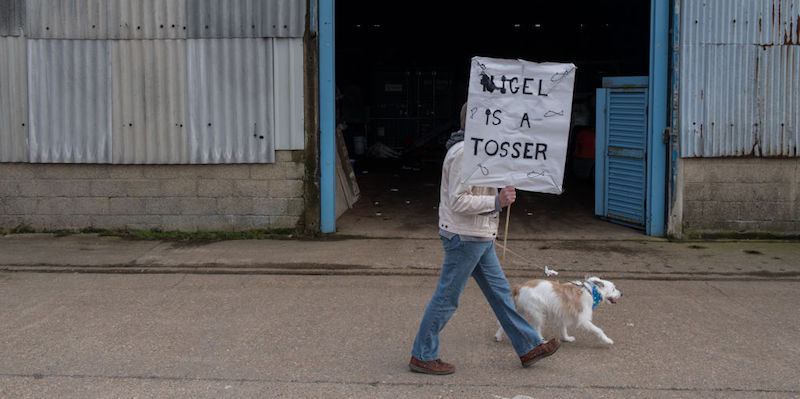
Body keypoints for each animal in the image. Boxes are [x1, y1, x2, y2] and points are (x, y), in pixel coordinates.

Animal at [494, 276, 624, 346]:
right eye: (613, 289)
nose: (622, 294)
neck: (591, 292)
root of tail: (520, 287)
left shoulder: (563, 315)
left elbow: (563, 328)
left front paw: (566, 338)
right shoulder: (583, 320)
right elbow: (599, 330)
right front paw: (607, 340)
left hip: (520, 309)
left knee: (505, 322)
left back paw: (498, 336)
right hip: (538, 314)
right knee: (537, 329)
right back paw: (542, 341)